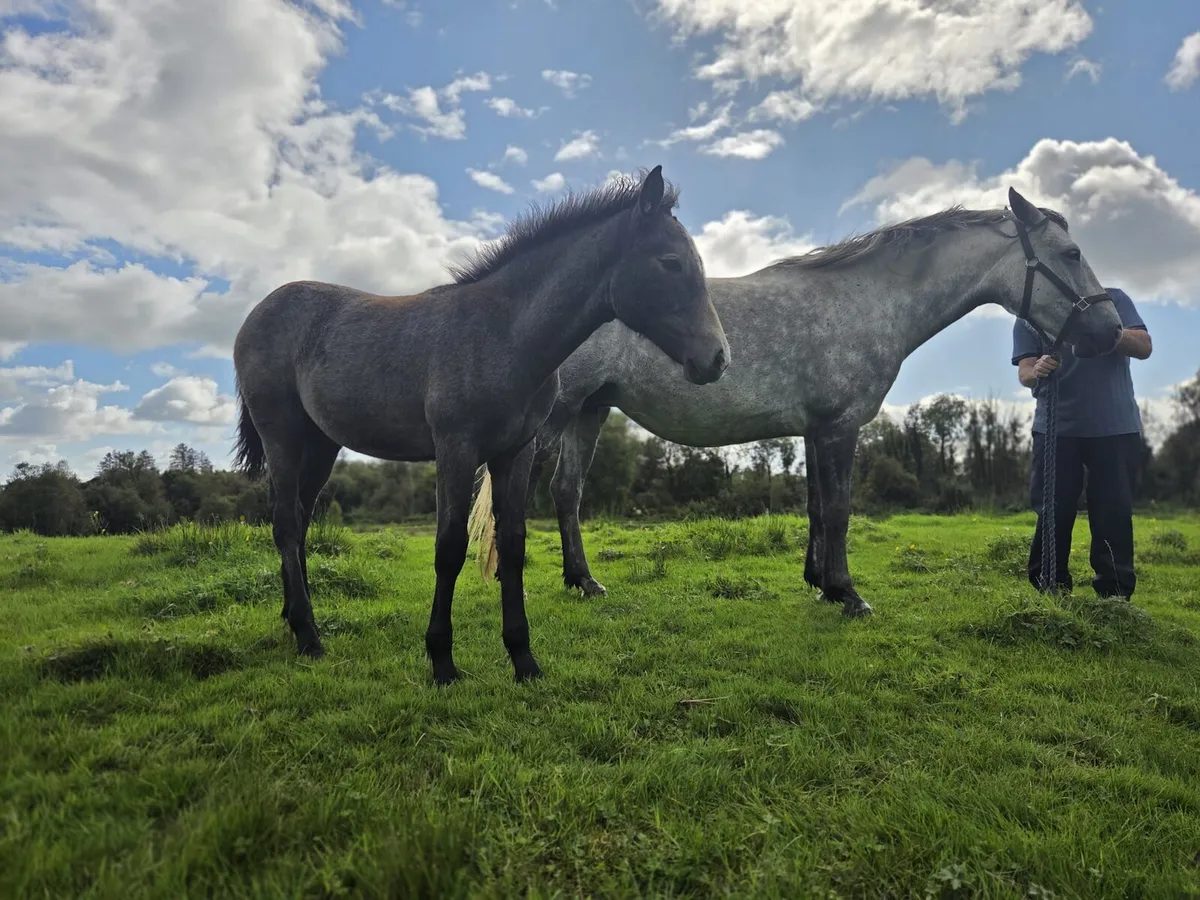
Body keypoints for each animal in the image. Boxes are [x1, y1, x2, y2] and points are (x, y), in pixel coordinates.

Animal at [232, 166, 730, 685]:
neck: (504, 334)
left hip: (321, 444)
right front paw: (442, 661)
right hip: (281, 434)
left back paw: (294, 616)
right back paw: (308, 635)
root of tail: (258, 313)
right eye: (671, 263)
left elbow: (512, 544)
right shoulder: (456, 447)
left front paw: (523, 658)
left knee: (300, 518)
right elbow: (449, 547)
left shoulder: (516, 450)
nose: (717, 359)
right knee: (287, 523)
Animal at [468, 186, 1124, 618]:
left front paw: (819, 582)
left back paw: (585, 582)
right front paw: (848, 594)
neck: (868, 300)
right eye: (1070, 255)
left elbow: (814, 507)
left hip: (589, 411)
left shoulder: (814, 429)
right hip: (558, 415)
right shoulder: (840, 426)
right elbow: (837, 510)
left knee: (567, 493)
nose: (1111, 330)